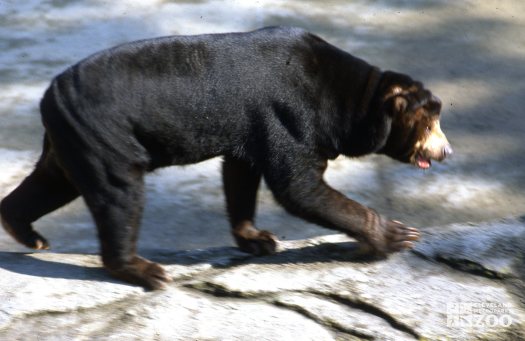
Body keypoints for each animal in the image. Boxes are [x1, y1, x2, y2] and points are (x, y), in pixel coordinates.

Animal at [0, 26, 450, 288]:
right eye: (429, 125)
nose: (446, 151)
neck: (353, 98)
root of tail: (49, 96)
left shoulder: (253, 127)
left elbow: (241, 173)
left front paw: (258, 239)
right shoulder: (291, 116)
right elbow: (298, 186)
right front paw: (399, 234)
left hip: (73, 140)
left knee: (51, 181)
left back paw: (28, 233)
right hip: (107, 137)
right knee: (119, 195)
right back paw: (147, 271)